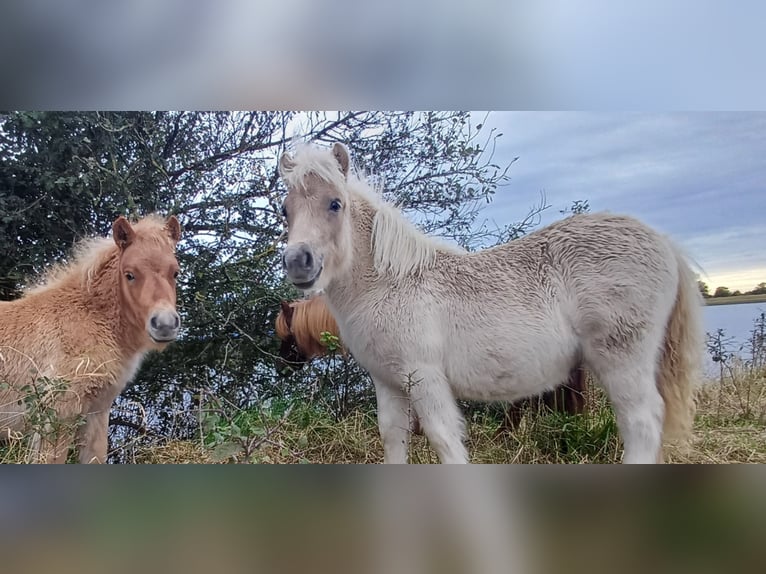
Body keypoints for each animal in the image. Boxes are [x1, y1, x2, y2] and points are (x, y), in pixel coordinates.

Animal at [280, 144, 704, 468]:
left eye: (335, 204)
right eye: (286, 209)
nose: (298, 261)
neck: (390, 283)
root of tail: (664, 242)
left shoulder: (426, 376)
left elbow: (444, 439)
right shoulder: (389, 382)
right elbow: (393, 438)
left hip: (622, 359)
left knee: (642, 421)